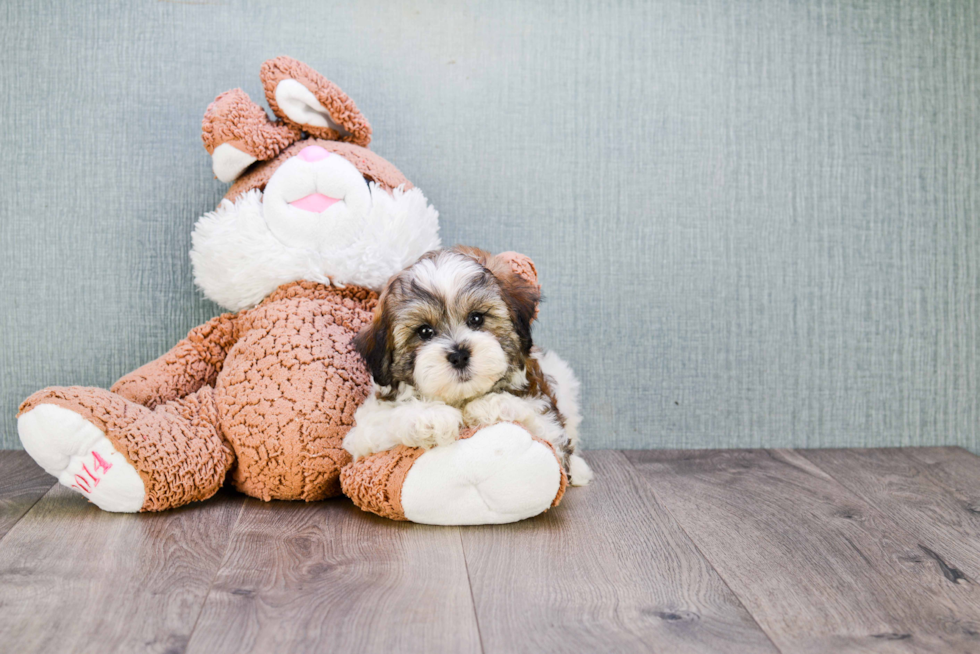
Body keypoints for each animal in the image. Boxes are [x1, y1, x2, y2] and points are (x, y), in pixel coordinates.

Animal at [340, 246, 592, 486]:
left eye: (476, 318)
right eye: (424, 331)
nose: (459, 355)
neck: (461, 398)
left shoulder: (546, 416)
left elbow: (539, 422)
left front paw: (484, 406)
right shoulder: (364, 436)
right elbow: (385, 421)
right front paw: (431, 417)